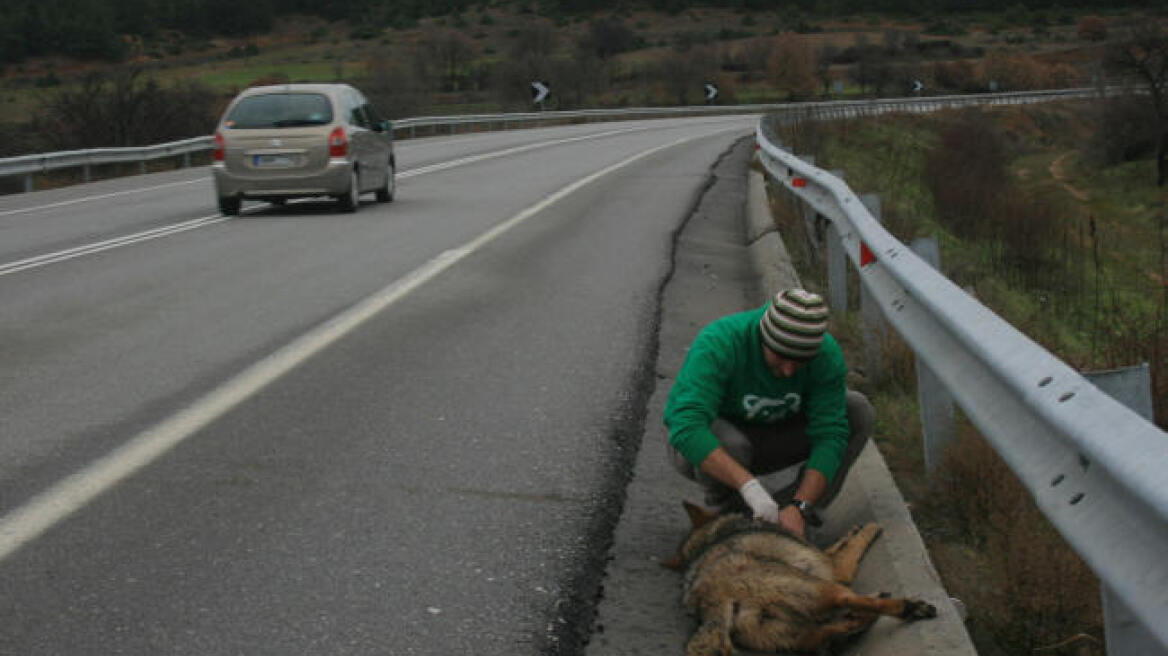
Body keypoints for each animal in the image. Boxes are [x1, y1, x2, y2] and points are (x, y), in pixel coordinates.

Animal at [663, 497, 934, 648]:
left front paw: (853, 530)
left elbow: (840, 542)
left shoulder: (823, 557)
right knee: (850, 600)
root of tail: (720, 600)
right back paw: (909, 607)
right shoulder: (837, 568)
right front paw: (871, 526)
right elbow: (855, 543)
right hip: (824, 590)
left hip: (801, 633)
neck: (712, 535)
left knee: (833, 629)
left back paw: (863, 617)